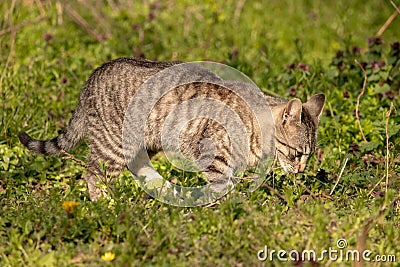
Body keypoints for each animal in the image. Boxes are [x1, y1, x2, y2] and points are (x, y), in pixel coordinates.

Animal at [18, 58, 324, 201]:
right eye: (298, 153)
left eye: (309, 155)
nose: (301, 171)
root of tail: (93, 76)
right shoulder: (212, 155)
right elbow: (222, 186)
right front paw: (230, 209)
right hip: (113, 145)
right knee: (93, 174)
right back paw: (106, 205)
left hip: (144, 144)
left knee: (140, 169)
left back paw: (167, 192)